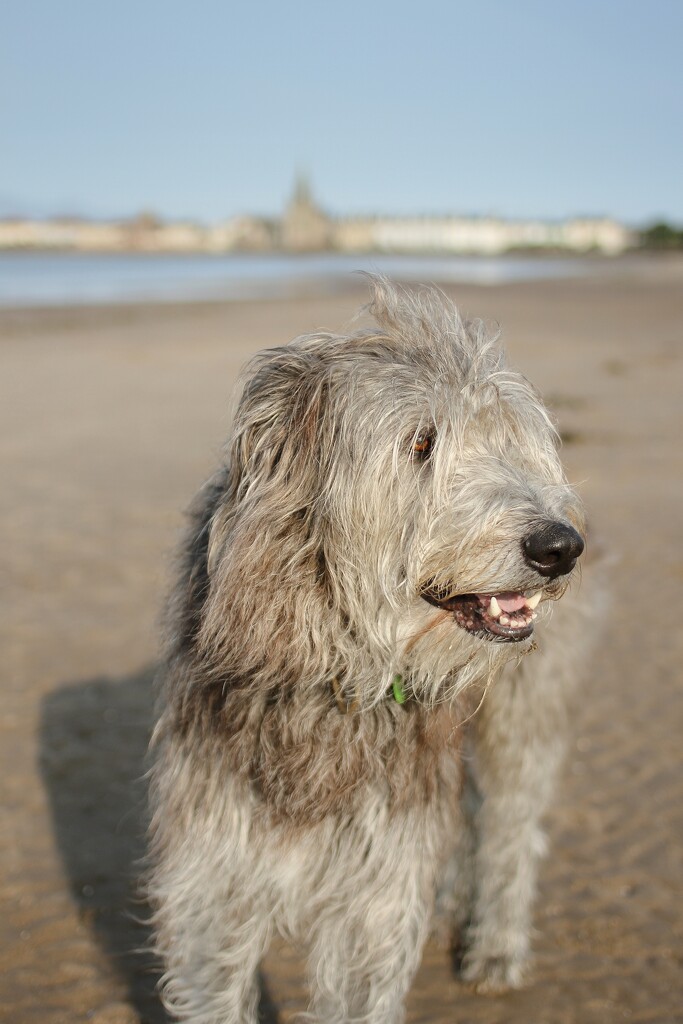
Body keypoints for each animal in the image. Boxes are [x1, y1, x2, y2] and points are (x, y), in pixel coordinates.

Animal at [147, 280, 602, 1024]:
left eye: (516, 442)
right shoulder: (211, 872)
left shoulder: (376, 885)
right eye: (422, 442)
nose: (559, 546)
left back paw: (496, 945)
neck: (331, 674)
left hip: (522, 717)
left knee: (512, 828)